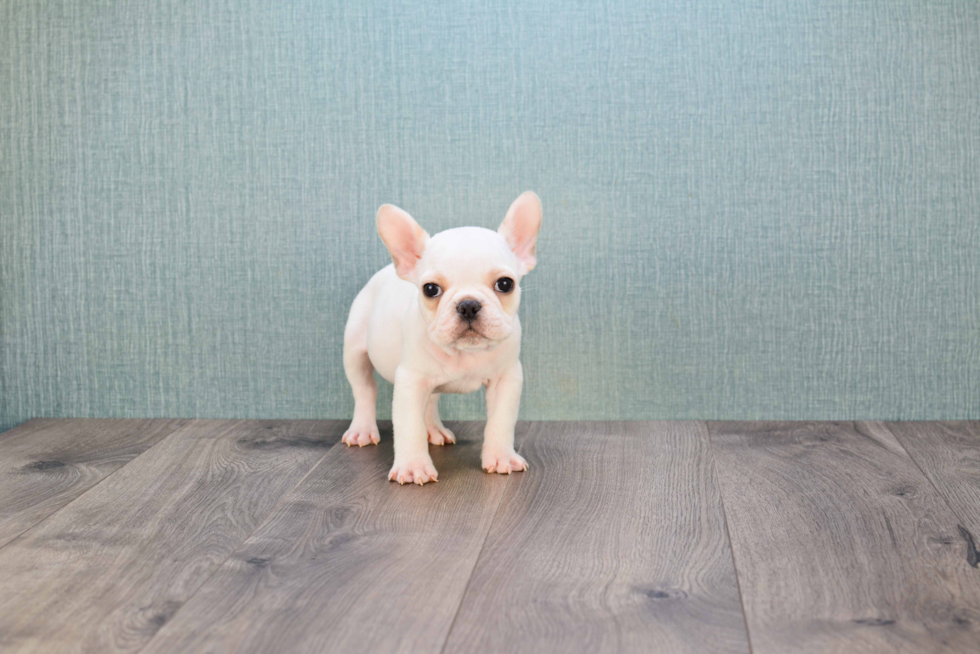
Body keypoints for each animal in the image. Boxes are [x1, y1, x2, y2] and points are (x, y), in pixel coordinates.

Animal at [342, 192, 544, 484]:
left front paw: (501, 457)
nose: (468, 304)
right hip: (355, 351)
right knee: (364, 391)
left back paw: (434, 429)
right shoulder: (411, 381)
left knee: (431, 400)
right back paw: (363, 429)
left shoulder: (506, 379)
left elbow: (501, 422)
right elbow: (408, 426)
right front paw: (413, 467)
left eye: (505, 284)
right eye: (430, 289)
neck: (464, 354)